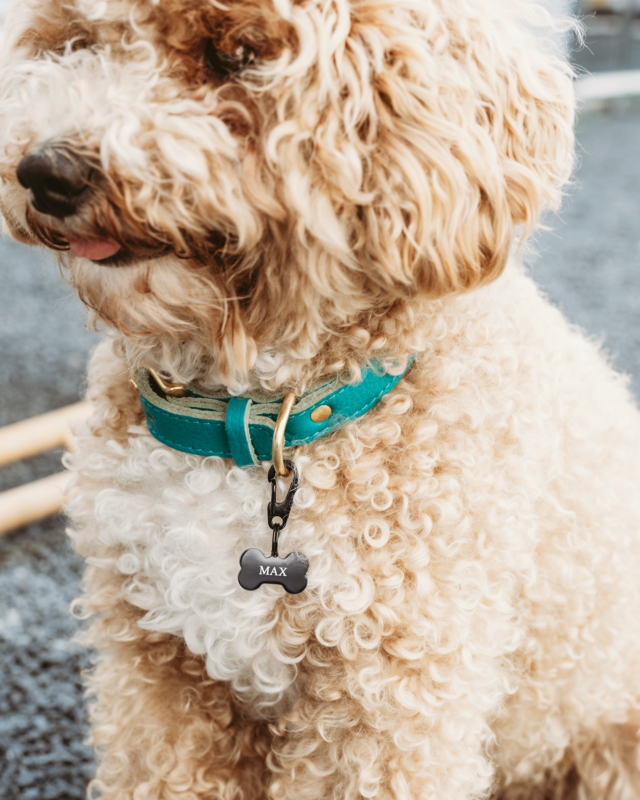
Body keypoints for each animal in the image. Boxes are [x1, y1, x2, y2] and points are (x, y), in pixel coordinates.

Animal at [1, 0, 640, 796]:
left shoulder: (385, 693)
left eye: (236, 57)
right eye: (75, 45)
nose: (46, 171)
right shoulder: (156, 670)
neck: (257, 420)